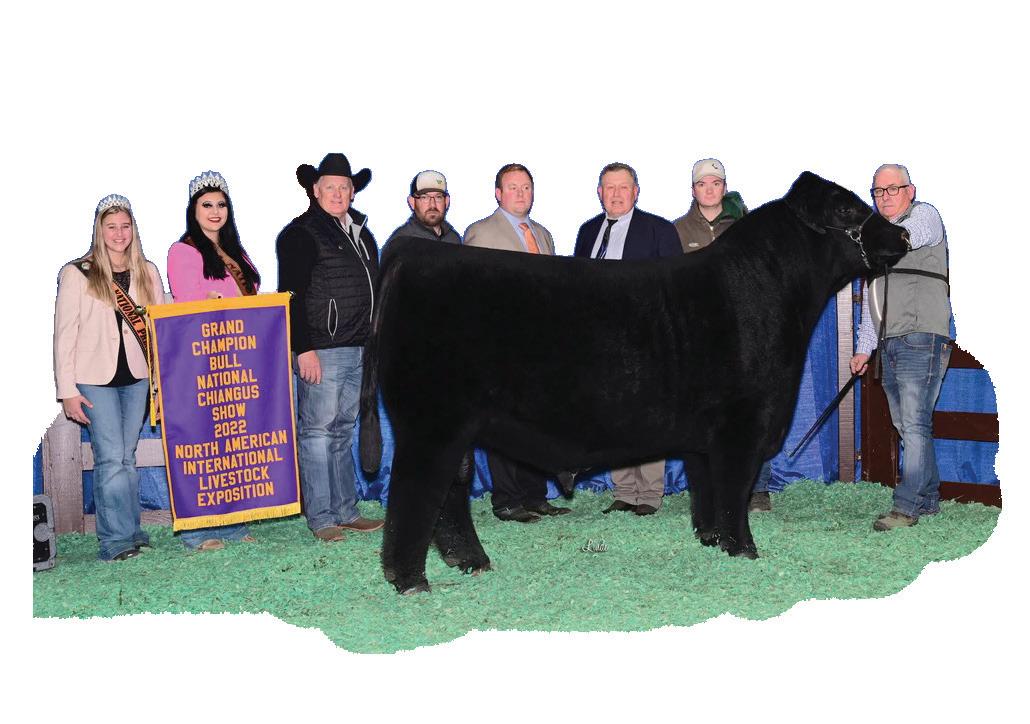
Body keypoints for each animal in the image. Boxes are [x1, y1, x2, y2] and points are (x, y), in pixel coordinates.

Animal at [359, 172, 910, 594]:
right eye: (847, 208)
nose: (902, 238)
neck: (764, 292)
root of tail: (412, 254)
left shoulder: (706, 437)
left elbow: (708, 491)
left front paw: (712, 541)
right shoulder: (744, 426)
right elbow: (735, 491)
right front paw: (745, 551)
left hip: (456, 428)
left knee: (450, 493)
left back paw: (471, 561)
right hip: (431, 424)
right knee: (414, 493)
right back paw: (410, 580)